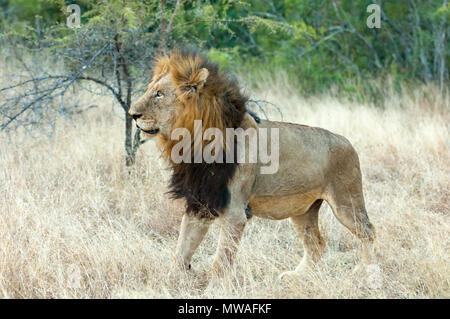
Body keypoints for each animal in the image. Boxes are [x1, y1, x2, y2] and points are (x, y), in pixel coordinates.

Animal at [130, 48, 376, 280]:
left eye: (159, 94)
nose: (132, 114)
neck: (194, 141)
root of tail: (346, 141)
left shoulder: (235, 212)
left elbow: (220, 262)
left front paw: (214, 288)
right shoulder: (200, 202)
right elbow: (182, 250)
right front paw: (171, 281)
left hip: (346, 203)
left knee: (369, 233)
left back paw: (366, 272)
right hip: (303, 210)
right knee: (316, 245)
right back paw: (296, 276)